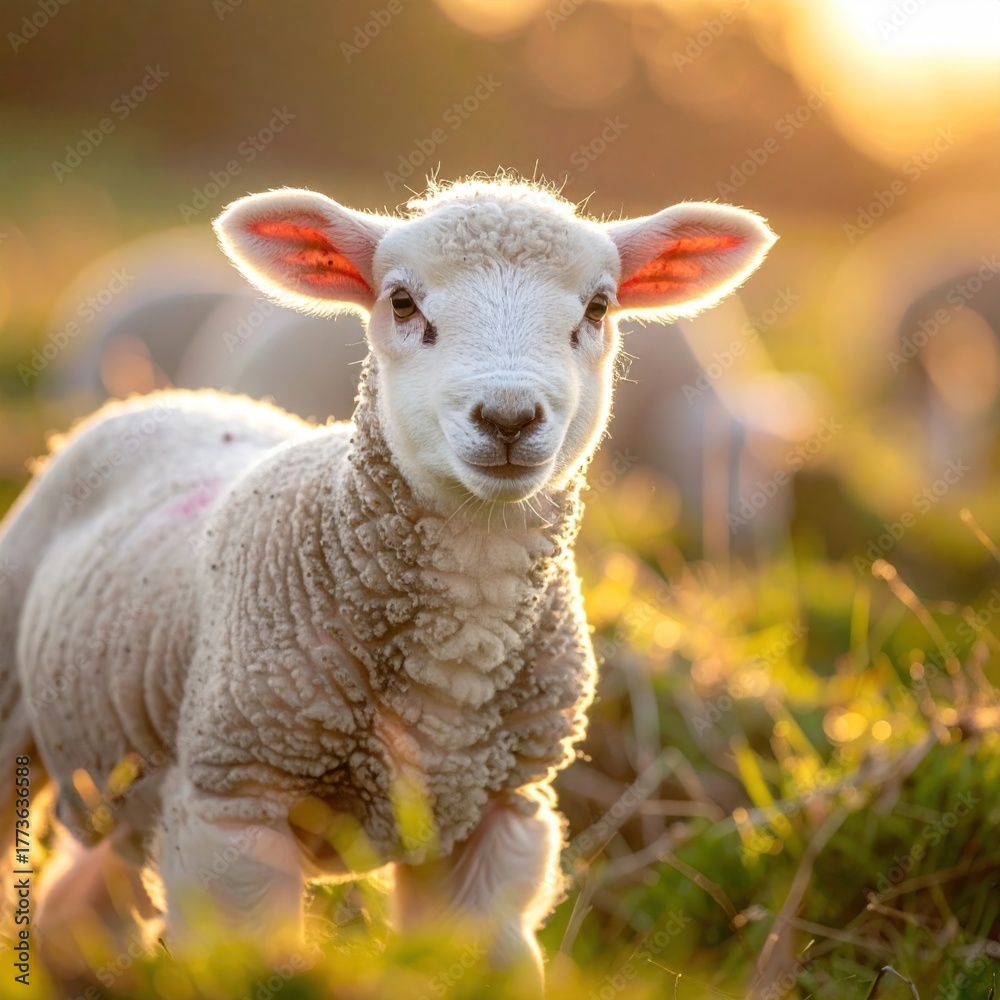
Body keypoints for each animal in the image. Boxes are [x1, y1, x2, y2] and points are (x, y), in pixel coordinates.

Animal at [0, 177, 775, 987]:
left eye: (598, 308)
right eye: (402, 302)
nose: (507, 417)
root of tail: (167, 399)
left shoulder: (501, 813)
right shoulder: (234, 801)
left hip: (128, 778)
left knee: (80, 908)